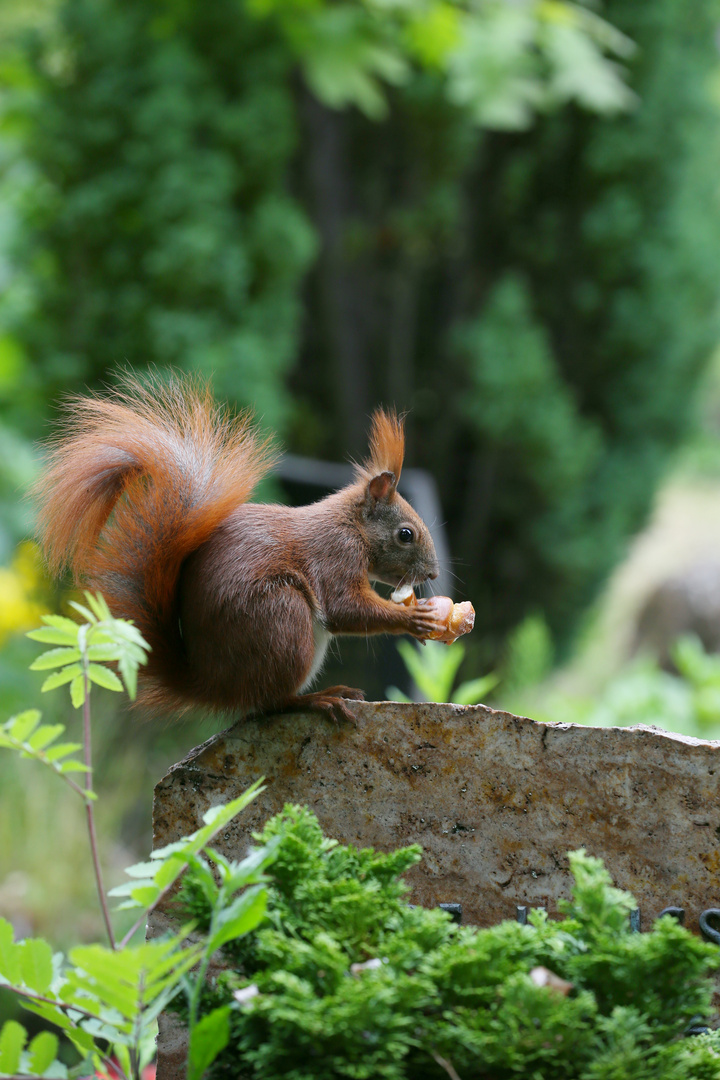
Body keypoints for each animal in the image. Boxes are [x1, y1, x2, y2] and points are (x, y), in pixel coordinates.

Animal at [36, 375, 451, 721]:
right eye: (405, 534)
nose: (432, 573)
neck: (352, 526)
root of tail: (212, 684)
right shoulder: (336, 554)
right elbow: (344, 607)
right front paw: (412, 619)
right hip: (283, 620)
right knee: (271, 702)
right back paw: (319, 699)